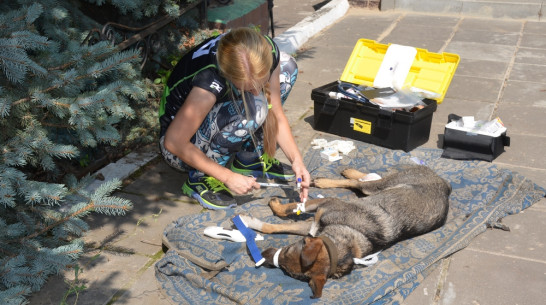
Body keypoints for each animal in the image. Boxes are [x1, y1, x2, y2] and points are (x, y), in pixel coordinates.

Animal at [238, 164, 450, 296]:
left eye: (287, 272)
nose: (262, 256)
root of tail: (446, 187)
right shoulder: (316, 219)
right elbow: (277, 224)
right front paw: (251, 222)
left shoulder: (325, 206)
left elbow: (293, 208)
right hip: (383, 185)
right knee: (363, 181)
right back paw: (350, 172)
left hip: (379, 187)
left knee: (360, 184)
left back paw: (327, 180)